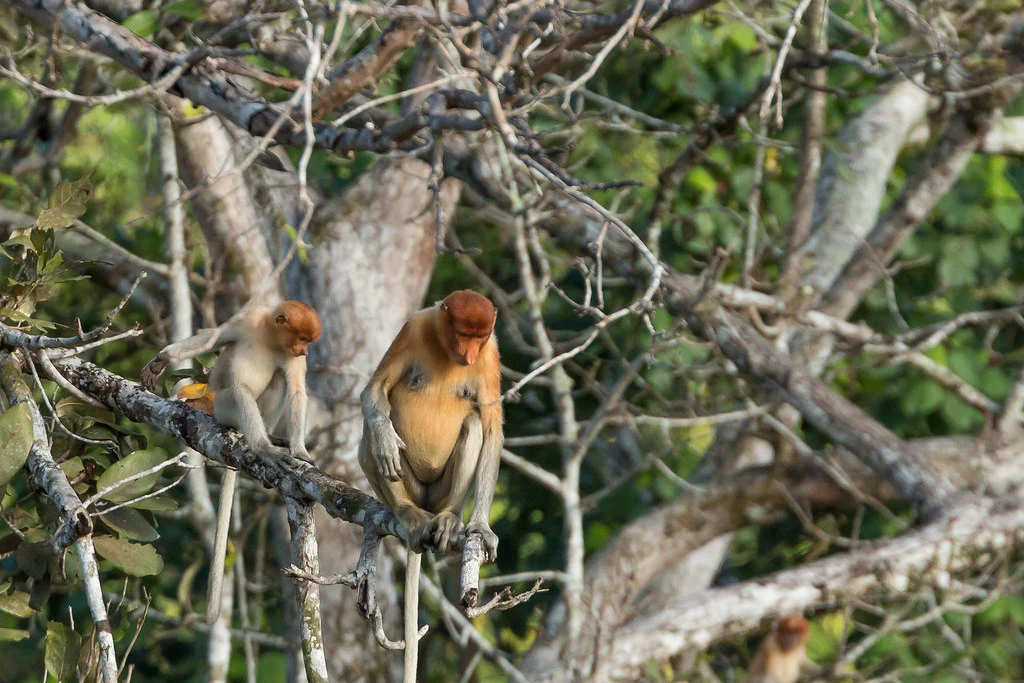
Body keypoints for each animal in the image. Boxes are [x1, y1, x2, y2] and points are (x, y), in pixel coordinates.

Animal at [141, 300, 321, 623]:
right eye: (301, 339)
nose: (304, 352)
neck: (270, 340)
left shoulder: (291, 361)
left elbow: (298, 392)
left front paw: (300, 450)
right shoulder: (247, 319)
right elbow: (212, 338)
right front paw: (161, 360)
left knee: (278, 380)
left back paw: (269, 443)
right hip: (223, 407)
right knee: (239, 392)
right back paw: (263, 447)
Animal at [358, 290, 502, 683]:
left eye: (479, 337)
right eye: (462, 334)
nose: (468, 355)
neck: (444, 347)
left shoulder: (491, 356)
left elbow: (490, 429)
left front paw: (481, 528)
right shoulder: (413, 328)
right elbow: (373, 391)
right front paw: (385, 440)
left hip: (438, 494)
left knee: (473, 423)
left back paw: (450, 519)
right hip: (410, 487)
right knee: (372, 432)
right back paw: (407, 513)